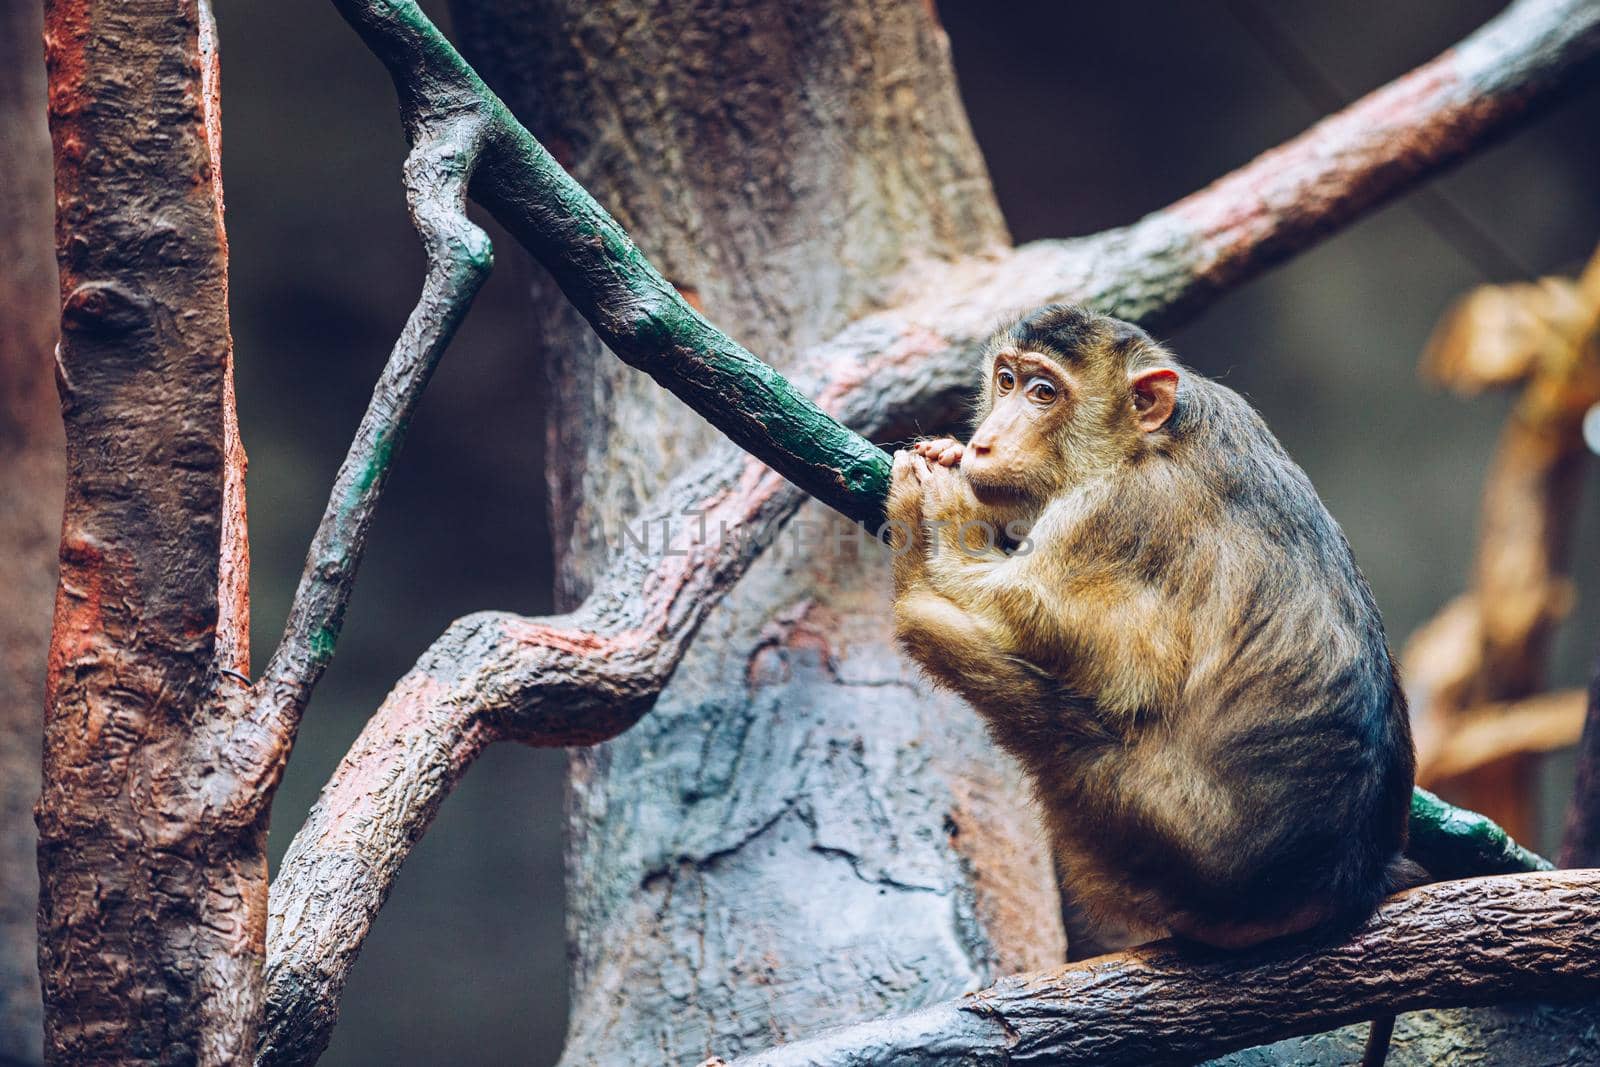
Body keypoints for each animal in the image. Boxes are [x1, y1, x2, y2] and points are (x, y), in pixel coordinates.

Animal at [896, 303, 1420, 966]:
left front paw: (941, 506)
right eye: (1006, 381)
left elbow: (1061, 635)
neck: (1145, 442)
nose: (987, 441)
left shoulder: (1112, 514)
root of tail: (1346, 880)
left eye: (1045, 394)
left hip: (1150, 822)